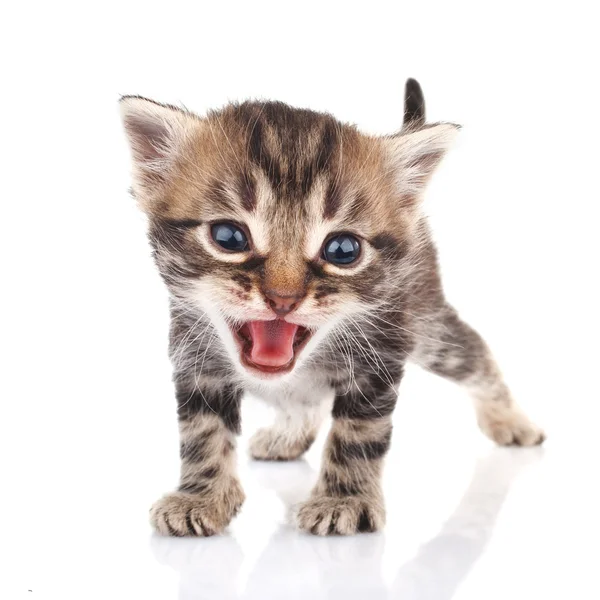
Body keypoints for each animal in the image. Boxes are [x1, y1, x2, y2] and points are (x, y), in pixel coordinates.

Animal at [120, 81, 544, 540]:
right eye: (228, 237)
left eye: (343, 250)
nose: (283, 299)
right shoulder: (194, 359)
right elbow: (202, 431)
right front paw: (201, 496)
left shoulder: (379, 357)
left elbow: (359, 434)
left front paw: (345, 500)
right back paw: (287, 437)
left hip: (428, 323)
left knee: (475, 354)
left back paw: (511, 422)